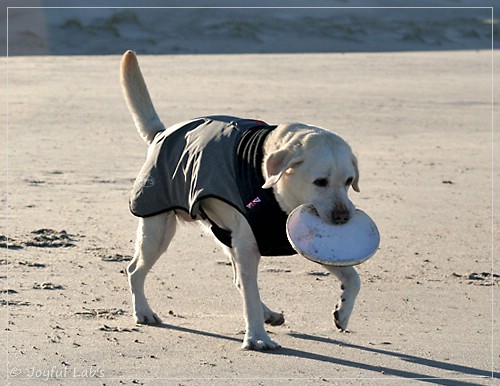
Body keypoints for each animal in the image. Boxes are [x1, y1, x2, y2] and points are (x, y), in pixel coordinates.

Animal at [122, 50, 364, 350]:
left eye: (348, 181)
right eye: (320, 182)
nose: (343, 217)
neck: (276, 196)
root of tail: (161, 134)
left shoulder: (299, 241)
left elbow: (353, 278)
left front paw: (343, 312)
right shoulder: (249, 246)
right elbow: (250, 294)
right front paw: (257, 338)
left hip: (224, 234)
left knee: (238, 279)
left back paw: (268, 312)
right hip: (158, 229)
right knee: (135, 270)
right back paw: (143, 311)